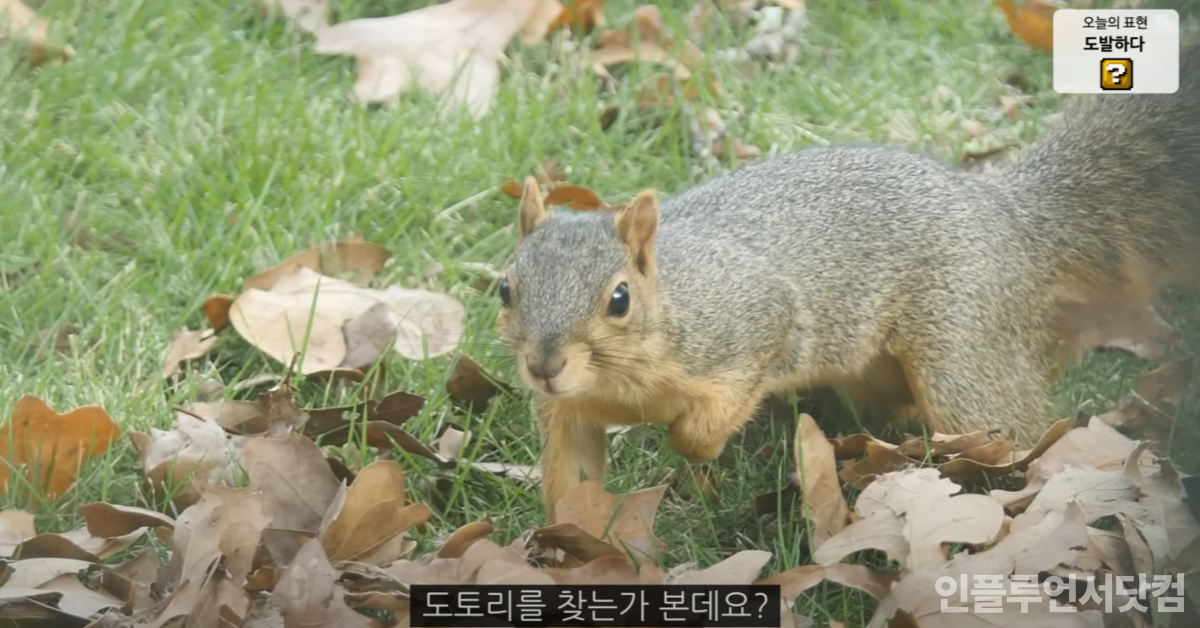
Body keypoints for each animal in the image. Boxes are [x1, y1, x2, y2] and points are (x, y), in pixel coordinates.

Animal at [492, 45, 1195, 521]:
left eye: (619, 299)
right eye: (505, 288)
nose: (545, 366)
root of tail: (1008, 212)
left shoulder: (753, 322)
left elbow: (716, 406)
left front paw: (694, 446)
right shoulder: (569, 413)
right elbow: (571, 482)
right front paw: (568, 547)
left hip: (964, 347)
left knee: (1011, 424)